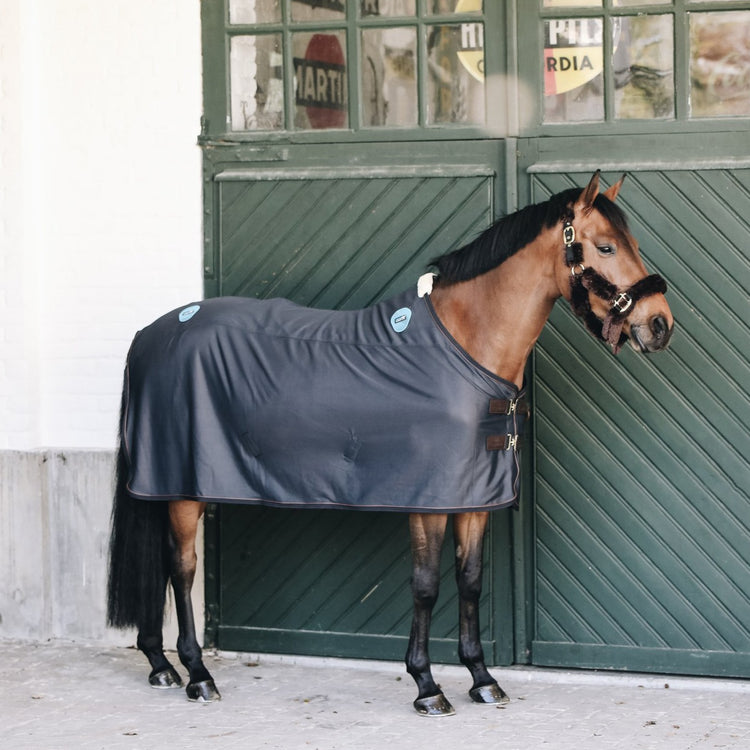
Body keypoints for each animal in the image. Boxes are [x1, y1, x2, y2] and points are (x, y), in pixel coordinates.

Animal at [106, 173, 676, 720]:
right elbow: (426, 586)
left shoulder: (472, 499)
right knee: (181, 569)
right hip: (183, 490)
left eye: (633, 242)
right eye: (605, 247)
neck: (466, 345)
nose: (660, 325)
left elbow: (470, 581)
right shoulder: (428, 502)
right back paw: (198, 675)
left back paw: (160, 664)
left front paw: (482, 680)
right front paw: (427, 686)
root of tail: (150, 334)